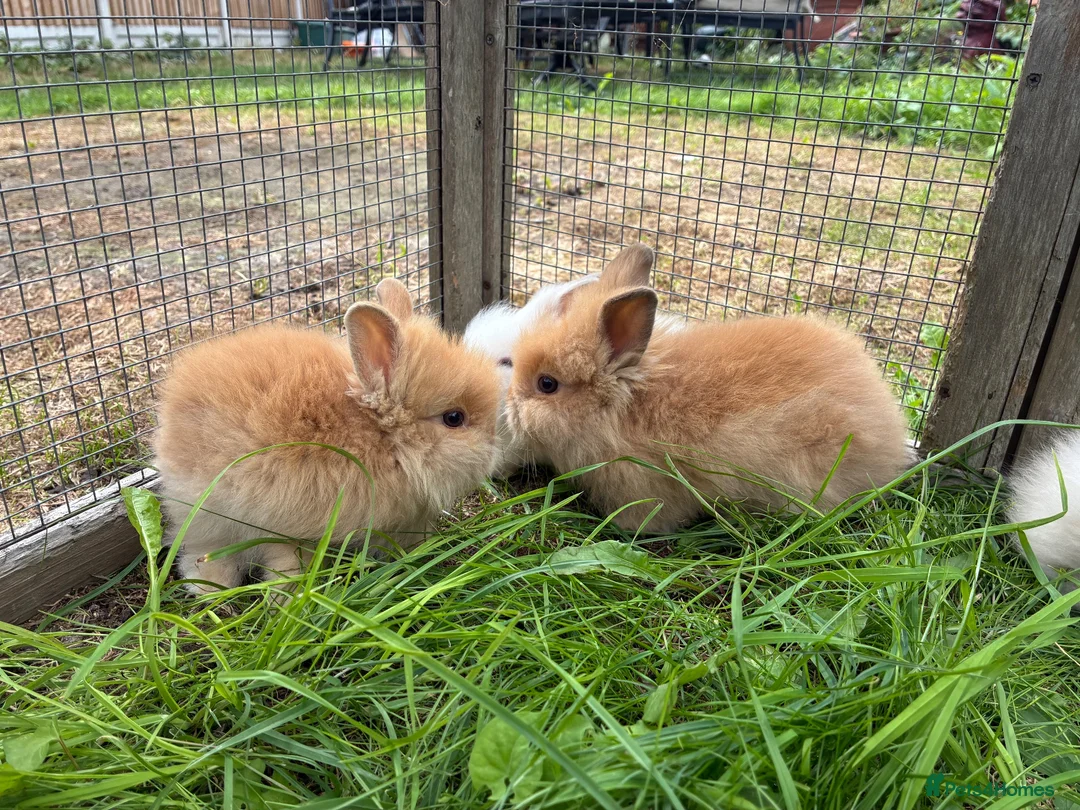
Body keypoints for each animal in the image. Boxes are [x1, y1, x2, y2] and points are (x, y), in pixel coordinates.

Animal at [154, 278, 500, 593]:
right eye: (454, 418)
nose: (493, 449)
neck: (382, 438)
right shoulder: (288, 526)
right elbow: (287, 563)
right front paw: (287, 597)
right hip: (207, 513)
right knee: (201, 550)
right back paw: (210, 588)